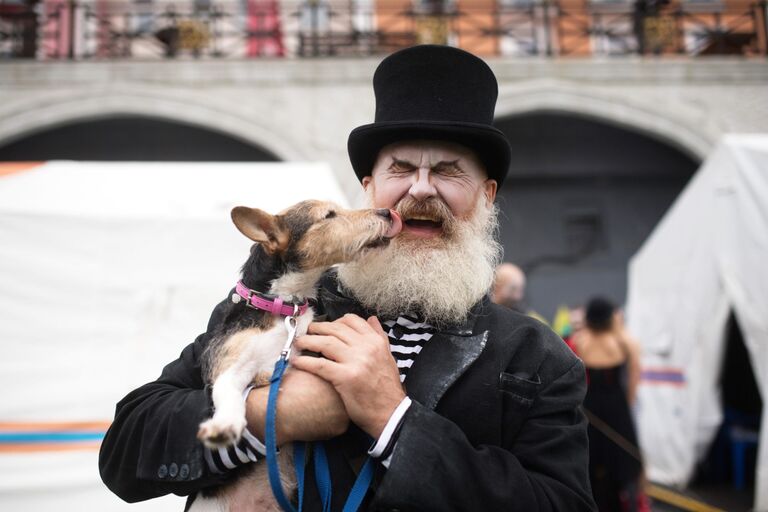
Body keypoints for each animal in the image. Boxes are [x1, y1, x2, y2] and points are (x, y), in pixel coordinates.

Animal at [189, 200, 402, 512]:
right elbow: (227, 390)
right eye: (329, 215)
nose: (387, 212)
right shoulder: (229, 363)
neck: (284, 308)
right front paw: (224, 425)